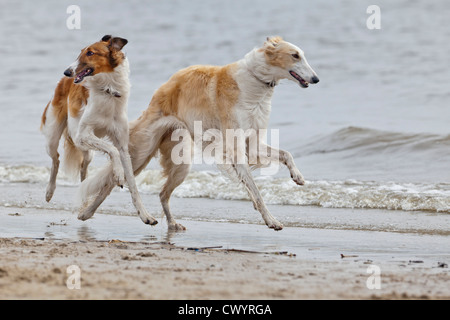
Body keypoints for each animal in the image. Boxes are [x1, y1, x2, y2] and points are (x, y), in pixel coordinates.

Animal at [41, 34, 158, 225]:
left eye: (90, 53)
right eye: (81, 52)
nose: (67, 72)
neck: (108, 90)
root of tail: (62, 82)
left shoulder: (123, 146)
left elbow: (133, 184)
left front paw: (145, 215)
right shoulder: (83, 134)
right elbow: (111, 150)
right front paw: (118, 174)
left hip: (87, 151)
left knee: (83, 168)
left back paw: (84, 203)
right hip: (54, 136)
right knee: (56, 159)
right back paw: (49, 192)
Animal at [77, 36, 318, 231]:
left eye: (302, 55)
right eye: (295, 55)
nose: (316, 79)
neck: (254, 82)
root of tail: (162, 89)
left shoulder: (252, 144)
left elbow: (286, 154)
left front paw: (298, 177)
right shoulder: (235, 147)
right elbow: (256, 191)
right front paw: (272, 220)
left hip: (182, 163)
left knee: (163, 194)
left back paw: (172, 223)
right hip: (141, 152)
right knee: (112, 181)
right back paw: (89, 213)